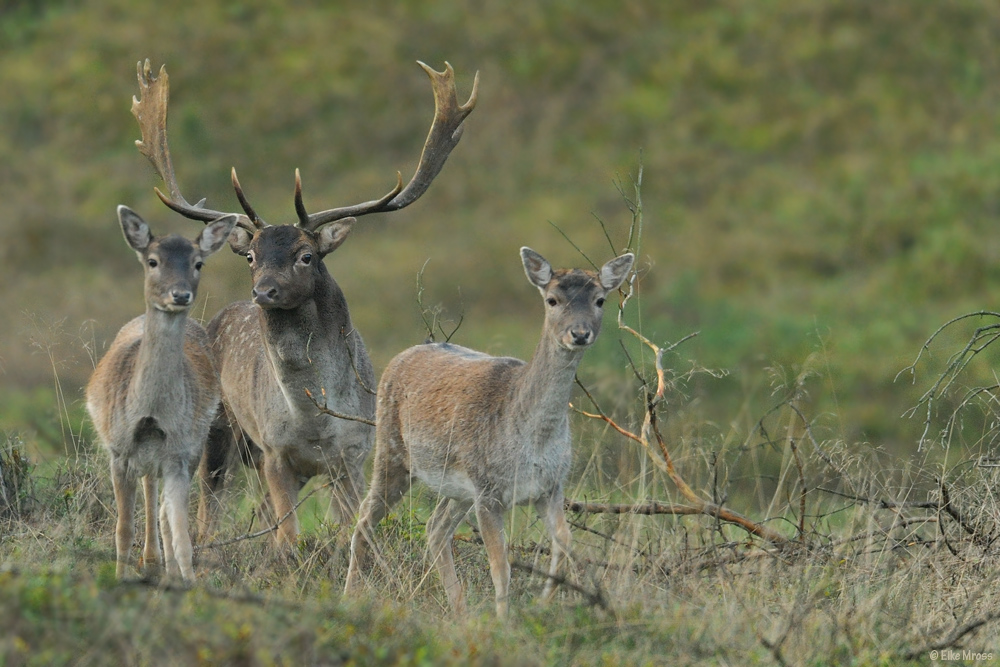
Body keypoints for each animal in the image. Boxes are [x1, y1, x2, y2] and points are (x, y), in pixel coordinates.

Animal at [84, 206, 236, 580]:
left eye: (198, 263)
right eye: (152, 261)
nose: (180, 295)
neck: (150, 414)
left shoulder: (179, 453)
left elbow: (182, 535)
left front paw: (189, 582)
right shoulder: (119, 450)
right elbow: (123, 529)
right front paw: (121, 579)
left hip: (195, 447)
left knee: (163, 509)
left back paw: (162, 569)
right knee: (149, 493)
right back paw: (150, 563)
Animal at [131, 60, 478, 544]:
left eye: (306, 255)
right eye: (252, 257)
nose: (264, 291)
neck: (313, 423)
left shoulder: (353, 454)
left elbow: (346, 527)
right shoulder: (276, 452)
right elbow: (288, 538)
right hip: (218, 429)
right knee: (210, 507)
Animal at [344, 248, 632, 620]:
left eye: (600, 300)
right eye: (552, 300)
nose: (579, 333)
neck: (532, 440)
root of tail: (401, 356)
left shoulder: (551, 487)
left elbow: (564, 547)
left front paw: (542, 603)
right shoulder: (488, 490)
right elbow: (501, 565)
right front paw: (504, 621)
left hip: (457, 488)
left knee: (434, 528)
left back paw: (460, 610)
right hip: (392, 452)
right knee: (364, 519)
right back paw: (348, 596)